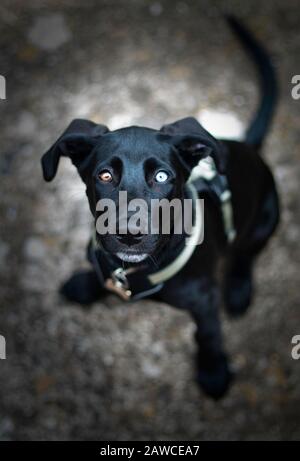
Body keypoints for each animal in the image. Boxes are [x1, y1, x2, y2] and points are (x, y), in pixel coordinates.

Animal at [41, 18, 278, 398]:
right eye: (105, 175)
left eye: (163, 176)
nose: (128, 235)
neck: (136, 272)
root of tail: (247, 147)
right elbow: (103, 274)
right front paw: (87, 284)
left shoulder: (204, 300)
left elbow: (208, 334)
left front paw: (213, 371)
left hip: (266, 219)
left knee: (246, 254)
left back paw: (239, 288)